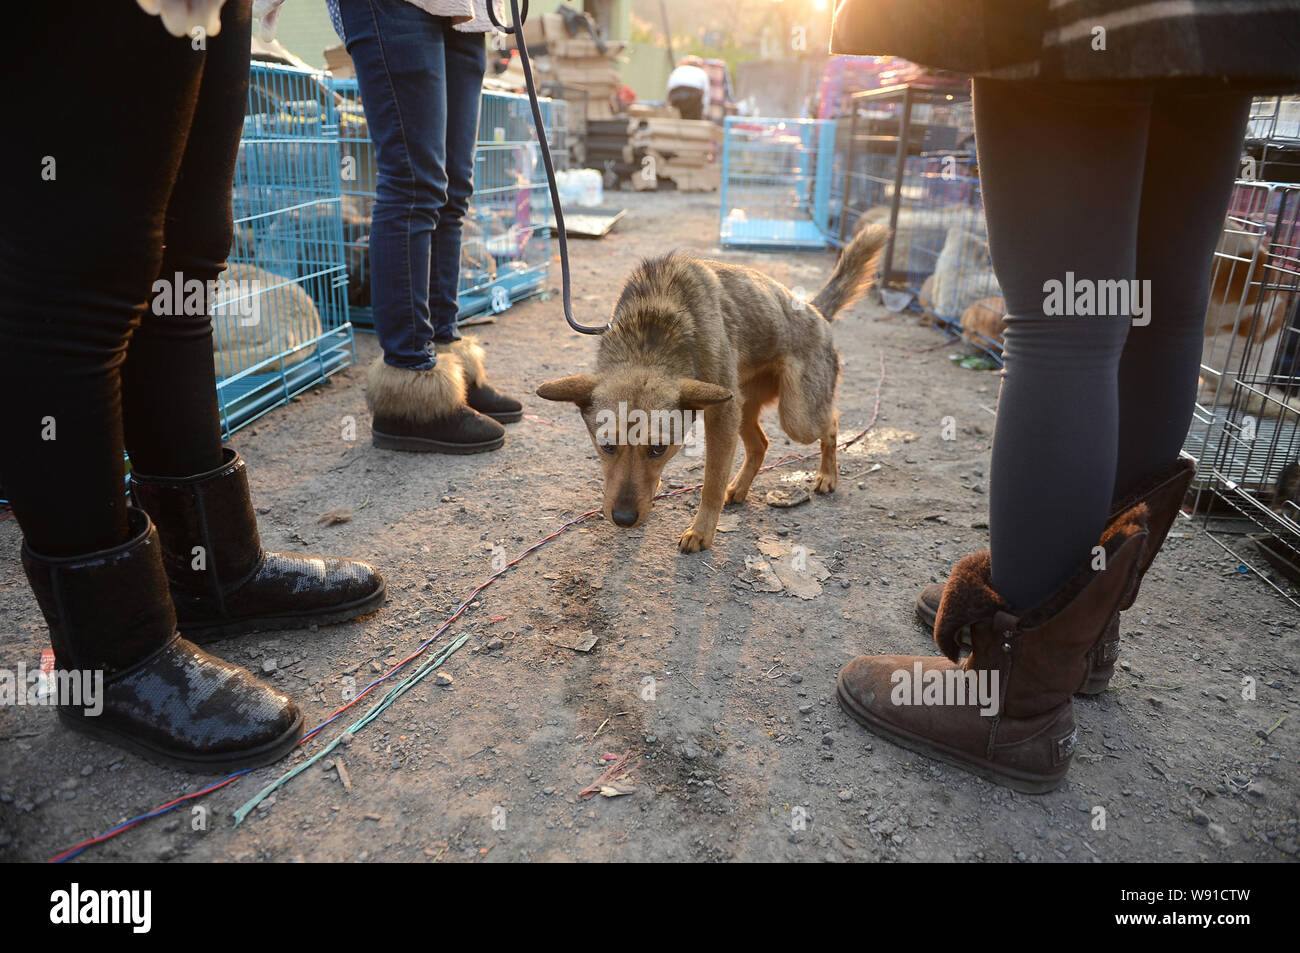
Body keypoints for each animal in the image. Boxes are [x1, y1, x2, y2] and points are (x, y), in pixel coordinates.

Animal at [533, 226, 889, 553]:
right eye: (606, 446)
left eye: (658, 448)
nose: (623, 518)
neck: (654, 328)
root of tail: (814, 309)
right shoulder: (723, 410)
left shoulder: (720, 416)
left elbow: (712, 483)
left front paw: (701, 531)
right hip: (742, 406)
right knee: (761, 444)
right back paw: (741, 488)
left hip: (794, 417)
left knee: (830, 423)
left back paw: (828, 474)